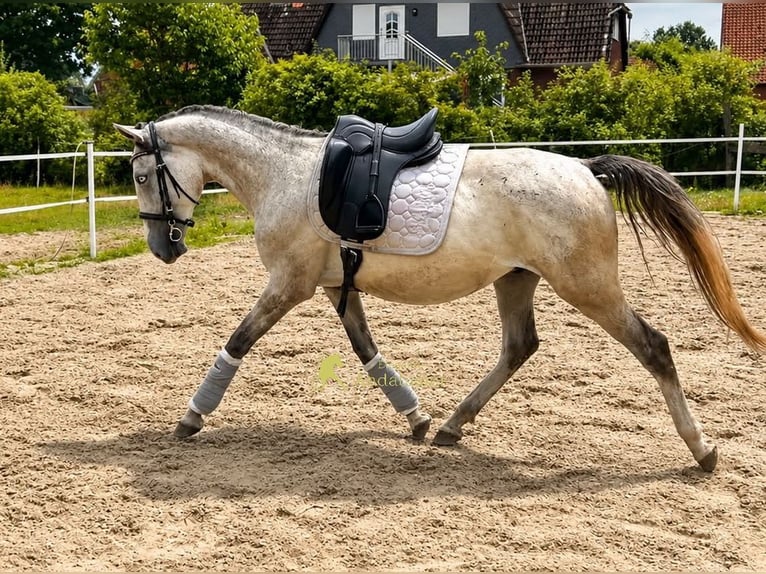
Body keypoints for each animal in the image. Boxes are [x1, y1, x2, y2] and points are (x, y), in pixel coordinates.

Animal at [114, 105, 766, 473]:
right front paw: (417, 419)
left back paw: (703, 450)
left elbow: (238, 342)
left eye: (143, 174)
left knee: (654, 347)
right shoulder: (335, 285)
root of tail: (585, 170)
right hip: (517, 281)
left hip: (588, 288)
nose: (164, 248)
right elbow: (366, 350)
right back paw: (453, 425)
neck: (285, 174)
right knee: (519, 347)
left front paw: (192, 417)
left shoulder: (289, 284)